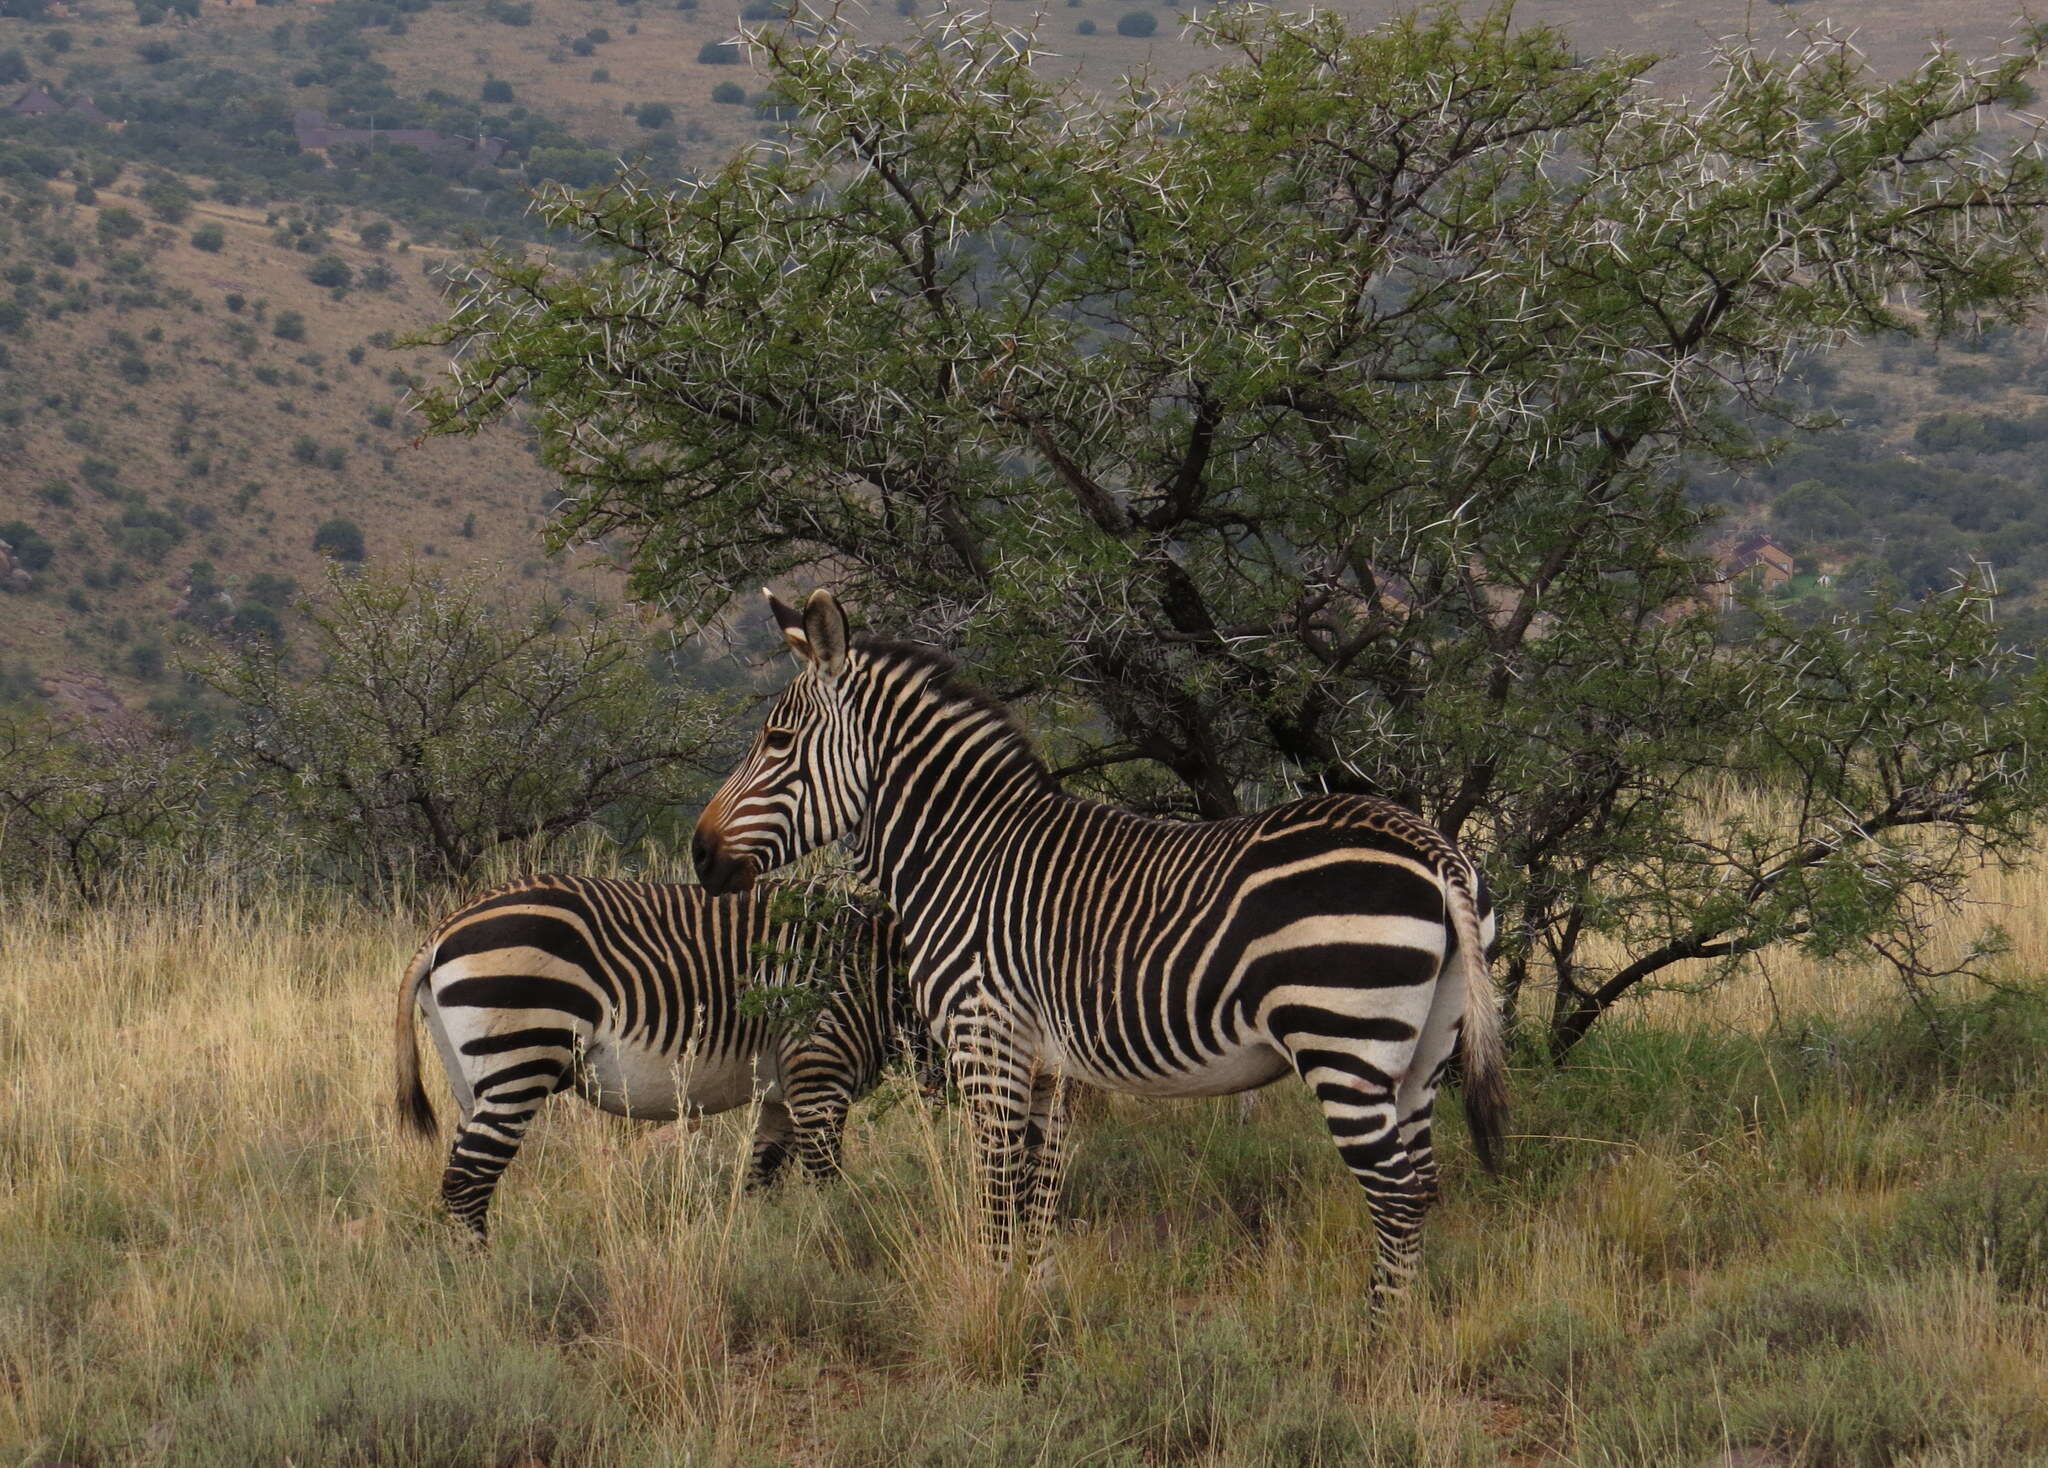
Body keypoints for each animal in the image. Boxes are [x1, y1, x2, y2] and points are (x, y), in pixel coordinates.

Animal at [391, 876, 921, 1244]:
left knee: (459, 1171)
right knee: (467, 1180)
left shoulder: (782, 1092)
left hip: (470, 1077)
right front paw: (831, 1249)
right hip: (521, 1054)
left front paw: (765, 1250)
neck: (877, 973)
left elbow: (762, 1180)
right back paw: (482, 1284)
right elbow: (825, 1183)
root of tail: (444, 928)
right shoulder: (818, 1071)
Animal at [696, 589, 1515, 1310]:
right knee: (1422, 1185)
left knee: (1397, 1194)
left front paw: (996, 1315)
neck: (964, 855)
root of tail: (1431, 844)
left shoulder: (986, 1038)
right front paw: (1036, 1301)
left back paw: (1381, 1338)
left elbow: (997, 1189)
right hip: (1424, 1051)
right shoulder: (1047, 1066)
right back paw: (1407, 1328)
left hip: (1343, 1039)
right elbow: (1040, 1191)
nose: (700, 856)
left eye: (777, 742)